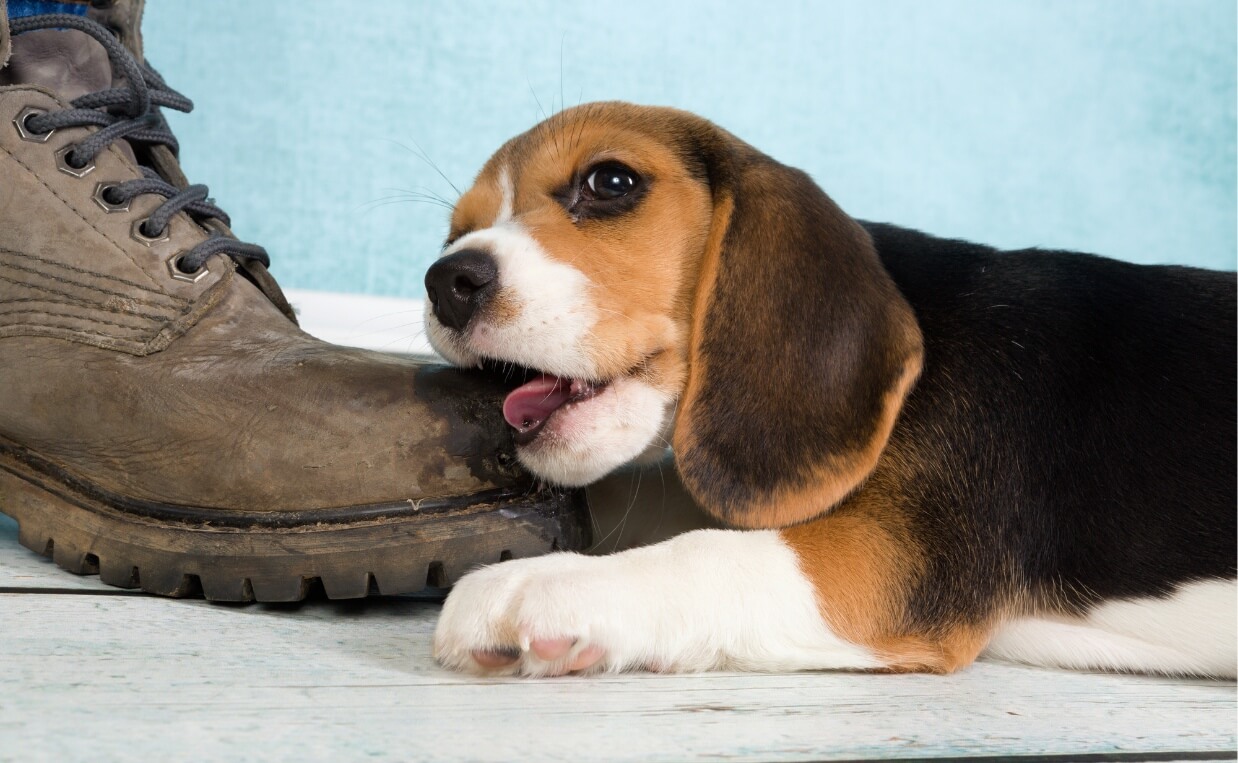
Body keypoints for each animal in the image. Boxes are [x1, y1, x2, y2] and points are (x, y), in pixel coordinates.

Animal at [423, 102, 1228, 678]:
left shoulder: (888, 560)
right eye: (454, 234)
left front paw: (543, 584)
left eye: (610, 182)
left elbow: (707, 552)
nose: (446, 281)